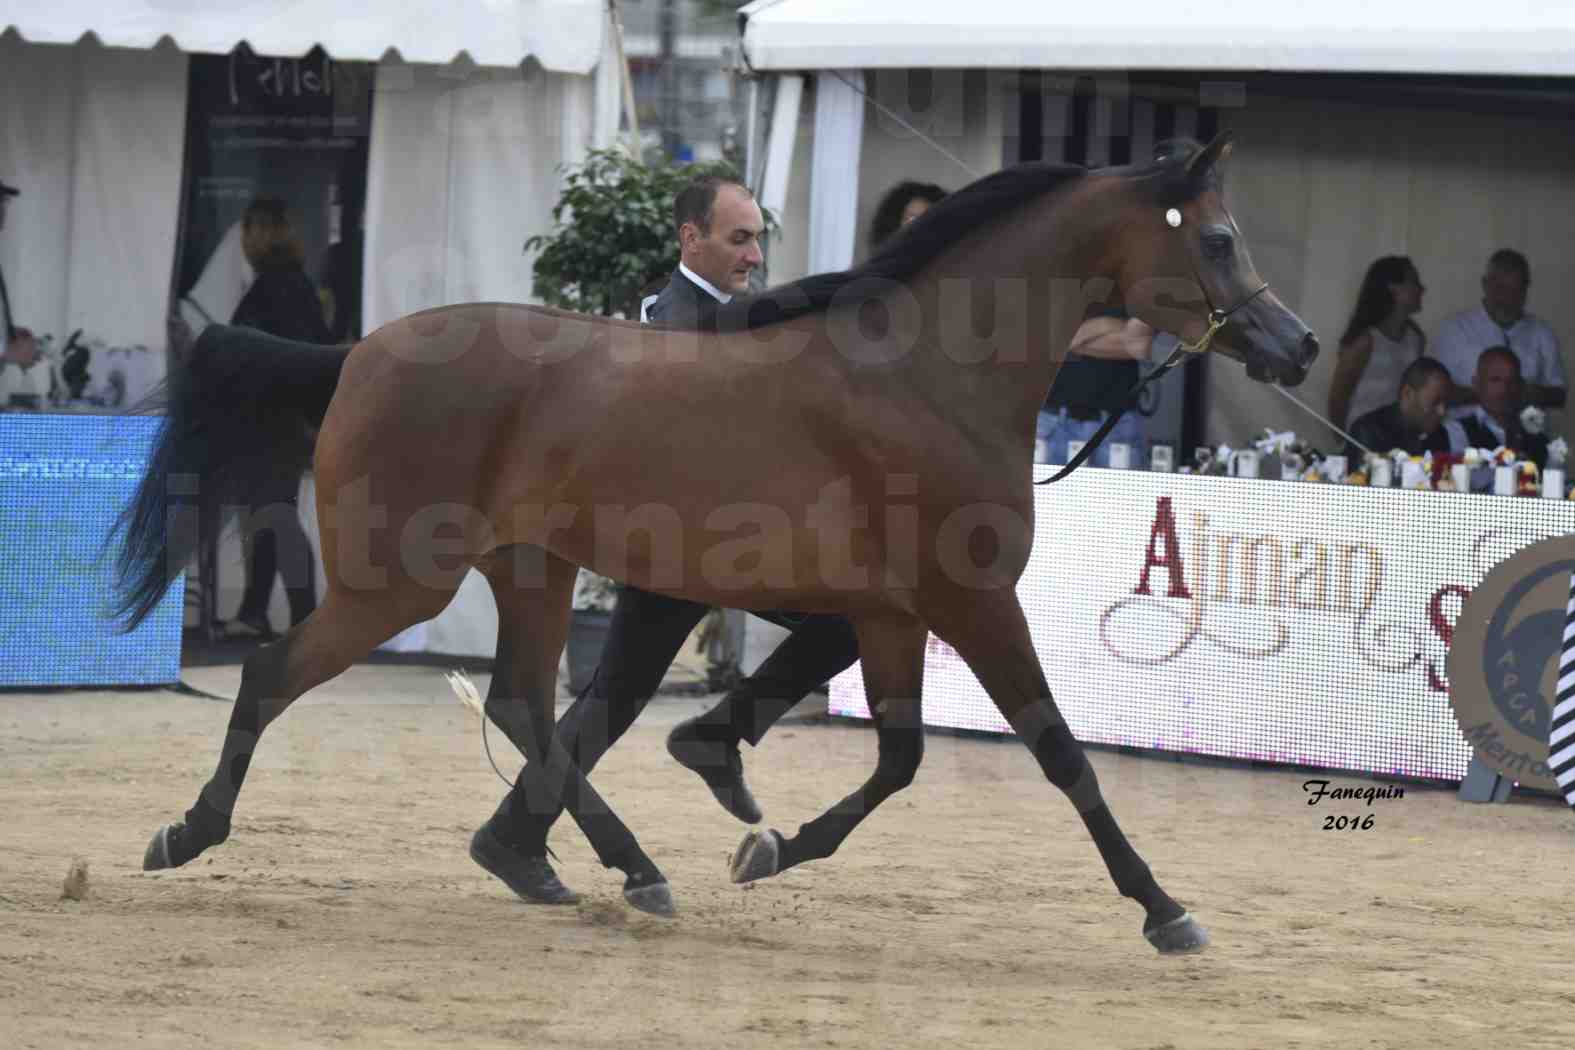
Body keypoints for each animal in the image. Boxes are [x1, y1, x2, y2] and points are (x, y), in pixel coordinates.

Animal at [114, 131, 1316, 950]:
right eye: (1218, 237)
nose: (1294, 344)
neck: (927, 378)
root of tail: (357, 351)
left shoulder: (887, 612)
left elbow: (900, 759)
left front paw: (767, 845)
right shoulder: (972, 603)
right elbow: (1060, 753)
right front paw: (1164, 908)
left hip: (530, 570)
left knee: (526, 705)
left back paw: (595, 867)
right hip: (398, 581)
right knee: (278, 672)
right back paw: (187, 834)